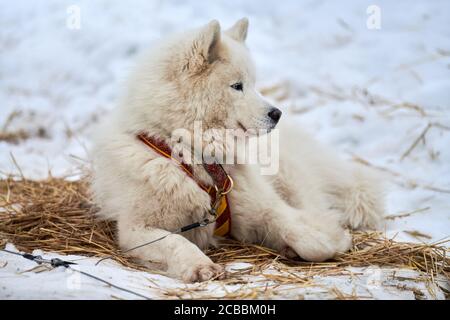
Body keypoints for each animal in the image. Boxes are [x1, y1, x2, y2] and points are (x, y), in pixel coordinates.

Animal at [90, 18, 384, 282]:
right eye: (237, 86)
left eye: (253, 84)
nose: (277, 113)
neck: (194, 156)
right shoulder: (136, 229)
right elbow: (176, 243)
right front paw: (199, 265)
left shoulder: (261, 209)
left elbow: (306, 237)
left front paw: (330, 239)